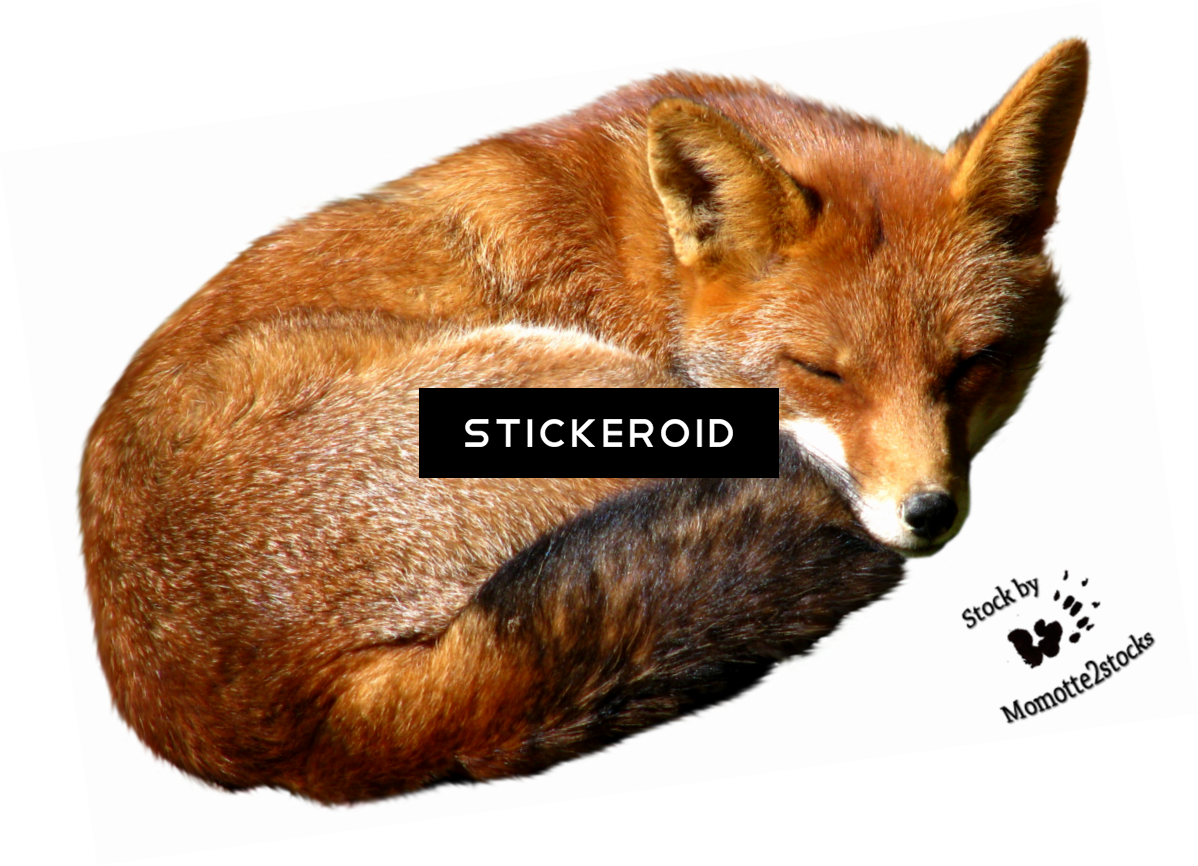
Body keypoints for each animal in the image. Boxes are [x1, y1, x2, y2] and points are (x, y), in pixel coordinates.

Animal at [75, 34, 1092, 810]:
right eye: (820, 372)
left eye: (973, 365)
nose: (928, 514)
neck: (651, 258)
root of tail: (292, 731)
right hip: (586, 391)